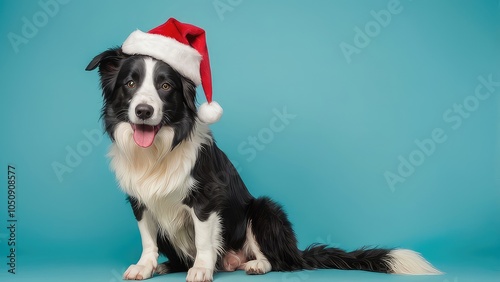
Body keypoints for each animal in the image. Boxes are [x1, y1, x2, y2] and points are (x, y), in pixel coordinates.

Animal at [86, 18, 442, 282]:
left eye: (165, 86)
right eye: (130, 84)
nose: (144, 111)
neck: (158, 150)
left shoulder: (207, 198)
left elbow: (203, 238)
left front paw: (201, 269)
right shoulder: (139, 199)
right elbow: (147, 238)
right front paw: (146, 265)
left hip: (263, 209)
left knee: (277, 260)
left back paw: (254, 264)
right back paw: (167, 266)